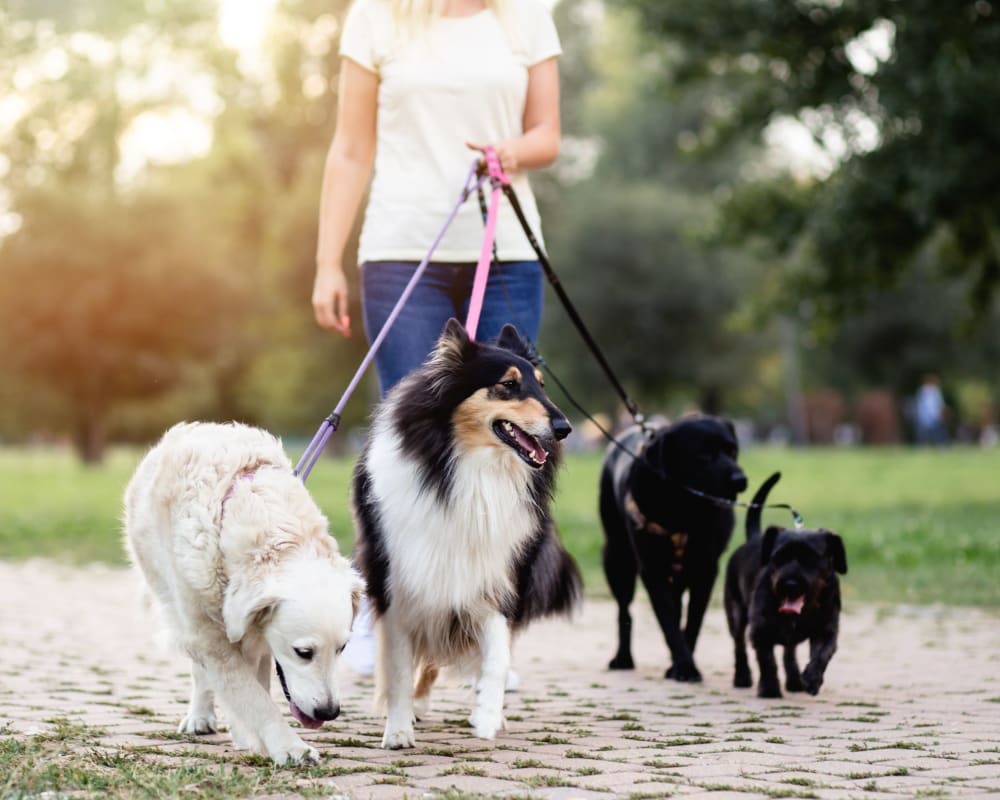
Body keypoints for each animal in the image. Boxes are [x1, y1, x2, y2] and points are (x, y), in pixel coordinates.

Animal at [122, 418, 362, 764]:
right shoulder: (209, 635)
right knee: (200, 670)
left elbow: (255, 687)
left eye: (342, 648)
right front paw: (290, 747)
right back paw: (200, 716)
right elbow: (251, 696)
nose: (328, 712)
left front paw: (256, 739)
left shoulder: (256, 634)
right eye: (303, 652)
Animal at [596, 412, 748, 680]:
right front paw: (685, 666)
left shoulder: (705, 570)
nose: (740, 480)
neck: (682, 508)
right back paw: (623, 657)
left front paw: (682, 664)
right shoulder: (652, 570)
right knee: (625, 611)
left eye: (732, 450)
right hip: (617, 559)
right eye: (704, 455)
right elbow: (667, 622)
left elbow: (693, 621)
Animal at [724, 472, 848, 696]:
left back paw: (794, 680)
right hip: (735, 614)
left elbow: (821, 656)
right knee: (739, 646)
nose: (790, 583)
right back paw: (742, 677)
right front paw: (769, 689)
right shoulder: (760, 631)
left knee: (789, 653)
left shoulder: (827, 631)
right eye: (779, 556)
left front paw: (812, 679)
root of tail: (755, 537)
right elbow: (767, 661)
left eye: (811, 558)